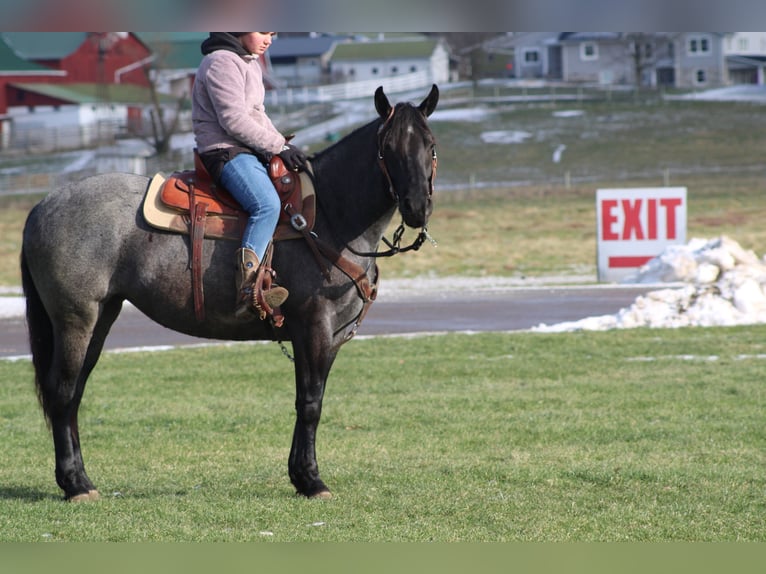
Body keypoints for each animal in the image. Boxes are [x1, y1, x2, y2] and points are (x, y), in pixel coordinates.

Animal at [20, 84, 440, 501]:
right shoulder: (315, 329)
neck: (329, 216)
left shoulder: (327, 337)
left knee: (74, 393)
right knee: (62, 392)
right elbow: (310, 404)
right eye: (387, 146)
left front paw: (300, 475)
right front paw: (312, 480)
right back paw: (75, 485)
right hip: (76, 319)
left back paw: (80, 479)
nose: (417, 206)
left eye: (429, 144)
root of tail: (43, 205)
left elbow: (306, 399)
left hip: (101, 317)